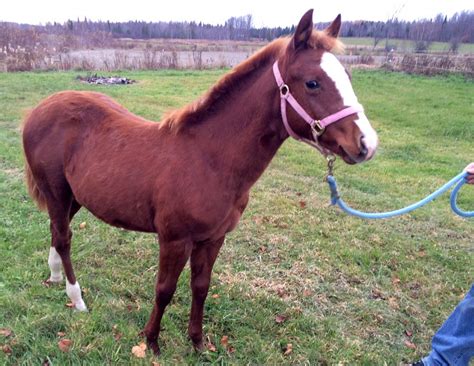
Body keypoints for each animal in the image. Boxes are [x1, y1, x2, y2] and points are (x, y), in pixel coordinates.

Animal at [22, 10, 378, 354]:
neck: (209, 159)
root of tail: (38, 109)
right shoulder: (174, 239)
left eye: (347, 77)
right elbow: (164, 289)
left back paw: (55, 277)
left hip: (75, 198)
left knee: (57, 230)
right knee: (64, 238)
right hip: (56, 192)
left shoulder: (214, 238)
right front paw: (151, 341)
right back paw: (77, 297)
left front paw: (196, 342)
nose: (367, 144)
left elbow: (201, 287)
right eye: (313, 82)